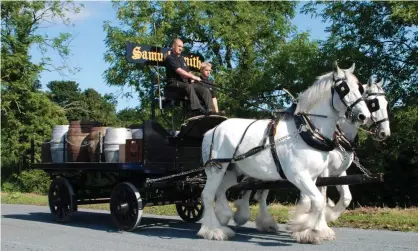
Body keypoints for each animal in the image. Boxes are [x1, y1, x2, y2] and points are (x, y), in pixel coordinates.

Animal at [198, 62, 370, 243]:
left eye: (360, 88)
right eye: (343, 88)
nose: (363, 116)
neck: (307, 132)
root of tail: (212, 130)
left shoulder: (313, 176)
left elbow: (314, 201)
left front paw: (310, 229)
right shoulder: (298, 175)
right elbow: (317, 200)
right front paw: (304, 227)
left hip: (234, 171)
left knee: (220, 190)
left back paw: (224, 216)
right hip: (217, 169)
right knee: (208, 194)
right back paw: (214, 230)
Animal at [232, 76, 392, 233]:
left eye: (386, 103)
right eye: (373, 103)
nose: (385, 133)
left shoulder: (338, 172)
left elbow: (345, 197)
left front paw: (323, 216)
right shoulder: (322, 171)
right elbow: (321, 195)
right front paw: (318, 224)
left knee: (257, 191)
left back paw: (262, 221)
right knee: (252, 189)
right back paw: (248, 216)